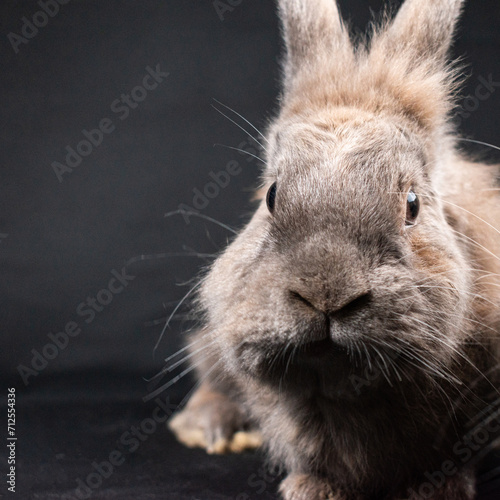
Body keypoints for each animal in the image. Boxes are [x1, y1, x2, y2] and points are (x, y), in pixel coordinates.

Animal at [168, 0, 500, 498]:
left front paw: (438, 491)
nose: (326, 295)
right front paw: (311, 489)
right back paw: (211, 429)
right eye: (271, 196)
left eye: (412, 204)